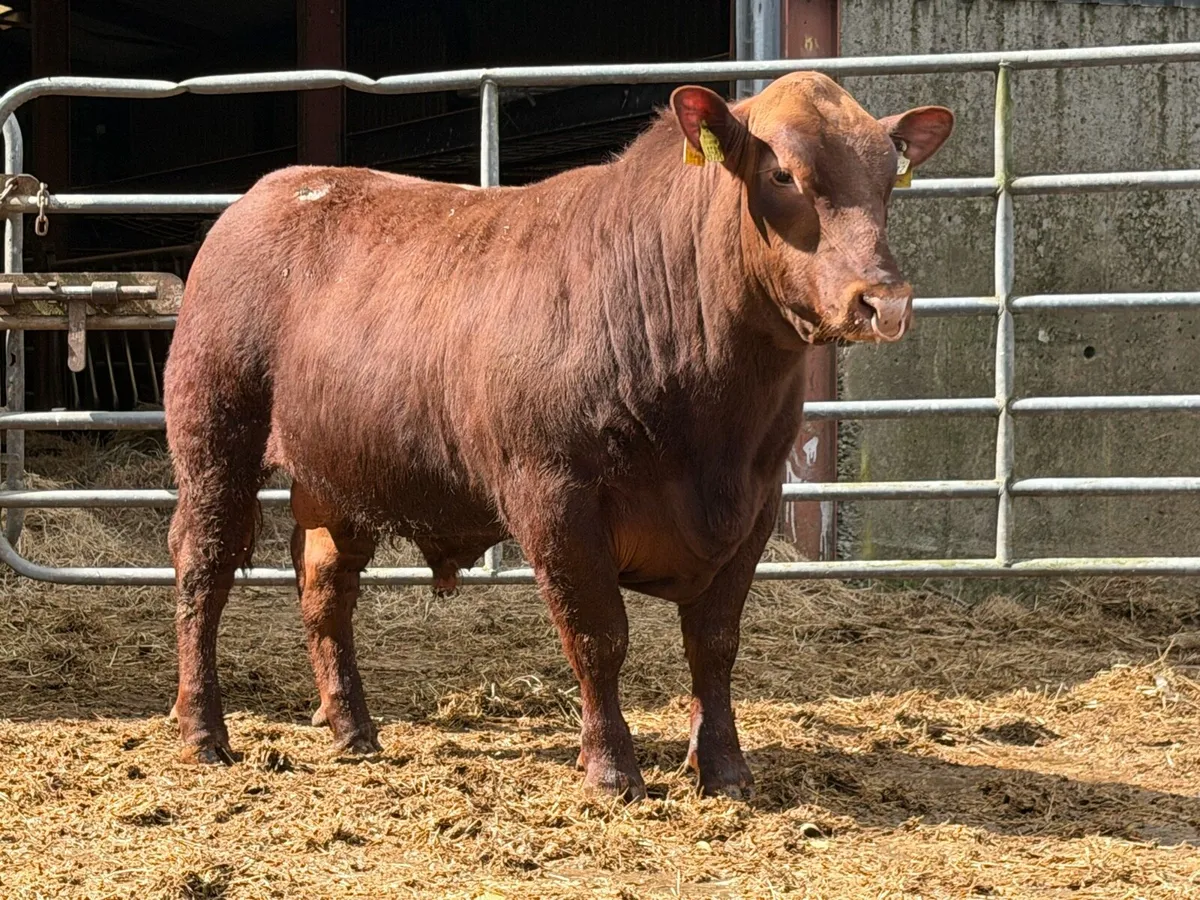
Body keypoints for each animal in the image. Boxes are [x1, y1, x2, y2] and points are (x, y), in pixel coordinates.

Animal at [163, 72, 952, 799]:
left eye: (889, 177)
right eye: (783, 172)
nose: (883, 300)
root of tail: (276, 190)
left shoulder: (755, 504)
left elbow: (715, 645)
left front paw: (724, 769)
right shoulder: (555, 498)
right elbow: (598, 637)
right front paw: (610, 770)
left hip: (340, 472)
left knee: (325, 584)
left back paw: (353, 729)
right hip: (215, 435)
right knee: (203, 565)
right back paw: (203, 731)